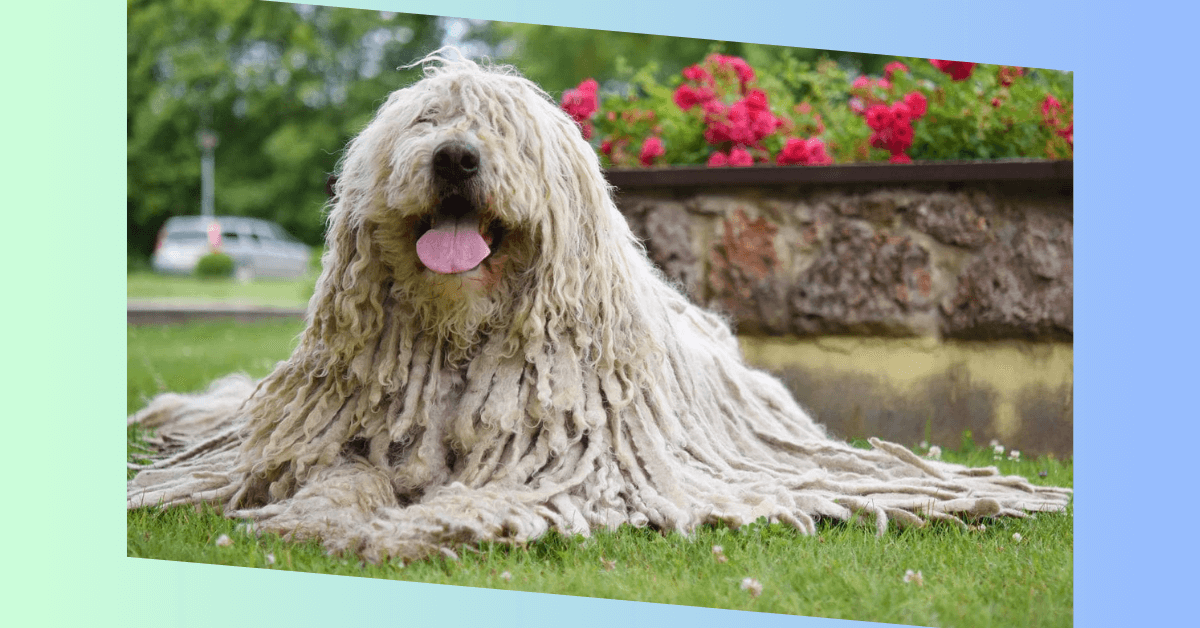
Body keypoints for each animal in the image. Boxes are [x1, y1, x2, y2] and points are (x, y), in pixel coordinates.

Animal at [126, 52, 1075, 564]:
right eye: (426, 122)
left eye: (504, 134)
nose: (457, 157)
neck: (462, 332)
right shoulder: (352, 438)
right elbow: (339, 476)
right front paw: (321, 517)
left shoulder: (564, 467)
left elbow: (482, 499)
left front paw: (407, 529)